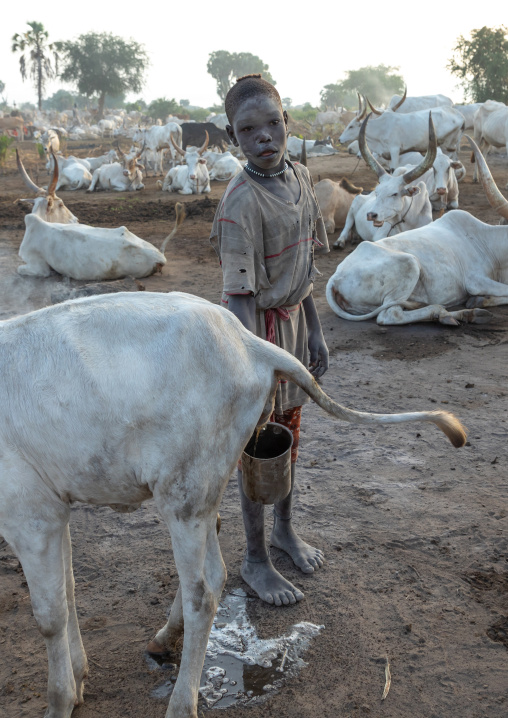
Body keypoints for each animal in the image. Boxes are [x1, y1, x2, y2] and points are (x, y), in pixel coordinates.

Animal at [0, 290, 465, 718]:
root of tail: (246, 340)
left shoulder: (29, 514)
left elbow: (49, 616)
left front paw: (60, 701)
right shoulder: (53, 510)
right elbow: (68, 593)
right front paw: (78, 677)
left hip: (183, 492)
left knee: (204, 592)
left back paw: (181, 702)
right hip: (202, 485)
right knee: (215, 563)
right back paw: (166, 639)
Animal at [326, 135, 508, 326]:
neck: (486, 240)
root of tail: (335, 278)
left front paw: (481, 301)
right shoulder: (475, 281)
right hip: (410, 264)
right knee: (389, 315)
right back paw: (448, 313)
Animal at [334, 114, 436, 248]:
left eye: (395, 194)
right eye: (377, 193)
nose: (371, 215)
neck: (410, 219)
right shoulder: (380, 236)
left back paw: (355, 237)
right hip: (351, 209)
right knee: (346, 228)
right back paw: (340, 241)